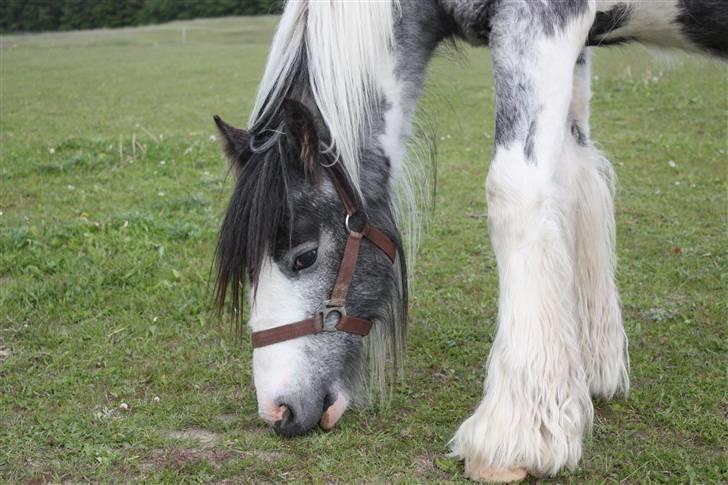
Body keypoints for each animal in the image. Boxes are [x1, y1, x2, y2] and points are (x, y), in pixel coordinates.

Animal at [209, 0, 724, 480]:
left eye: (305, 256)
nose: (278, 411)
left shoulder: (543, 23)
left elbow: (516, 192)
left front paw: (516, 438)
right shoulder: (576, 51)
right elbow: (574, 182)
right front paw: (588, 372)